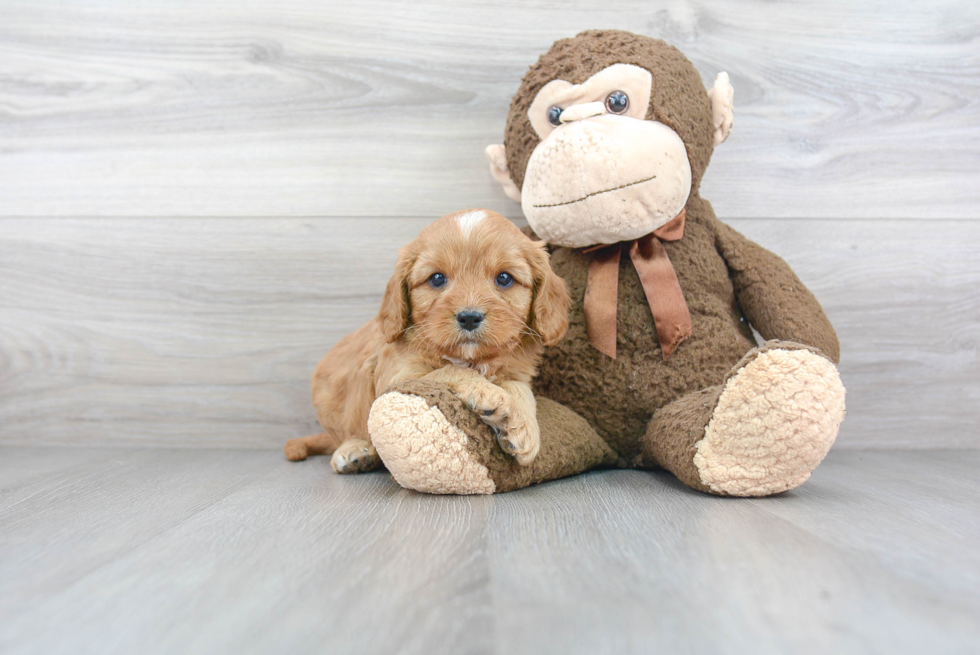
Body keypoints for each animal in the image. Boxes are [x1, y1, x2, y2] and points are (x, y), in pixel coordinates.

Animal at [284, 210, 572, 476]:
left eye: (504, 278)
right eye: (437, 278)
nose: (469, 317)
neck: (473, 358)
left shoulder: (517, 372)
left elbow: (521, 389)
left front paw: (522, 429)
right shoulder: (397, 376)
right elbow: (447, 370)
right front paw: (488, 393)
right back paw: (355, 451)